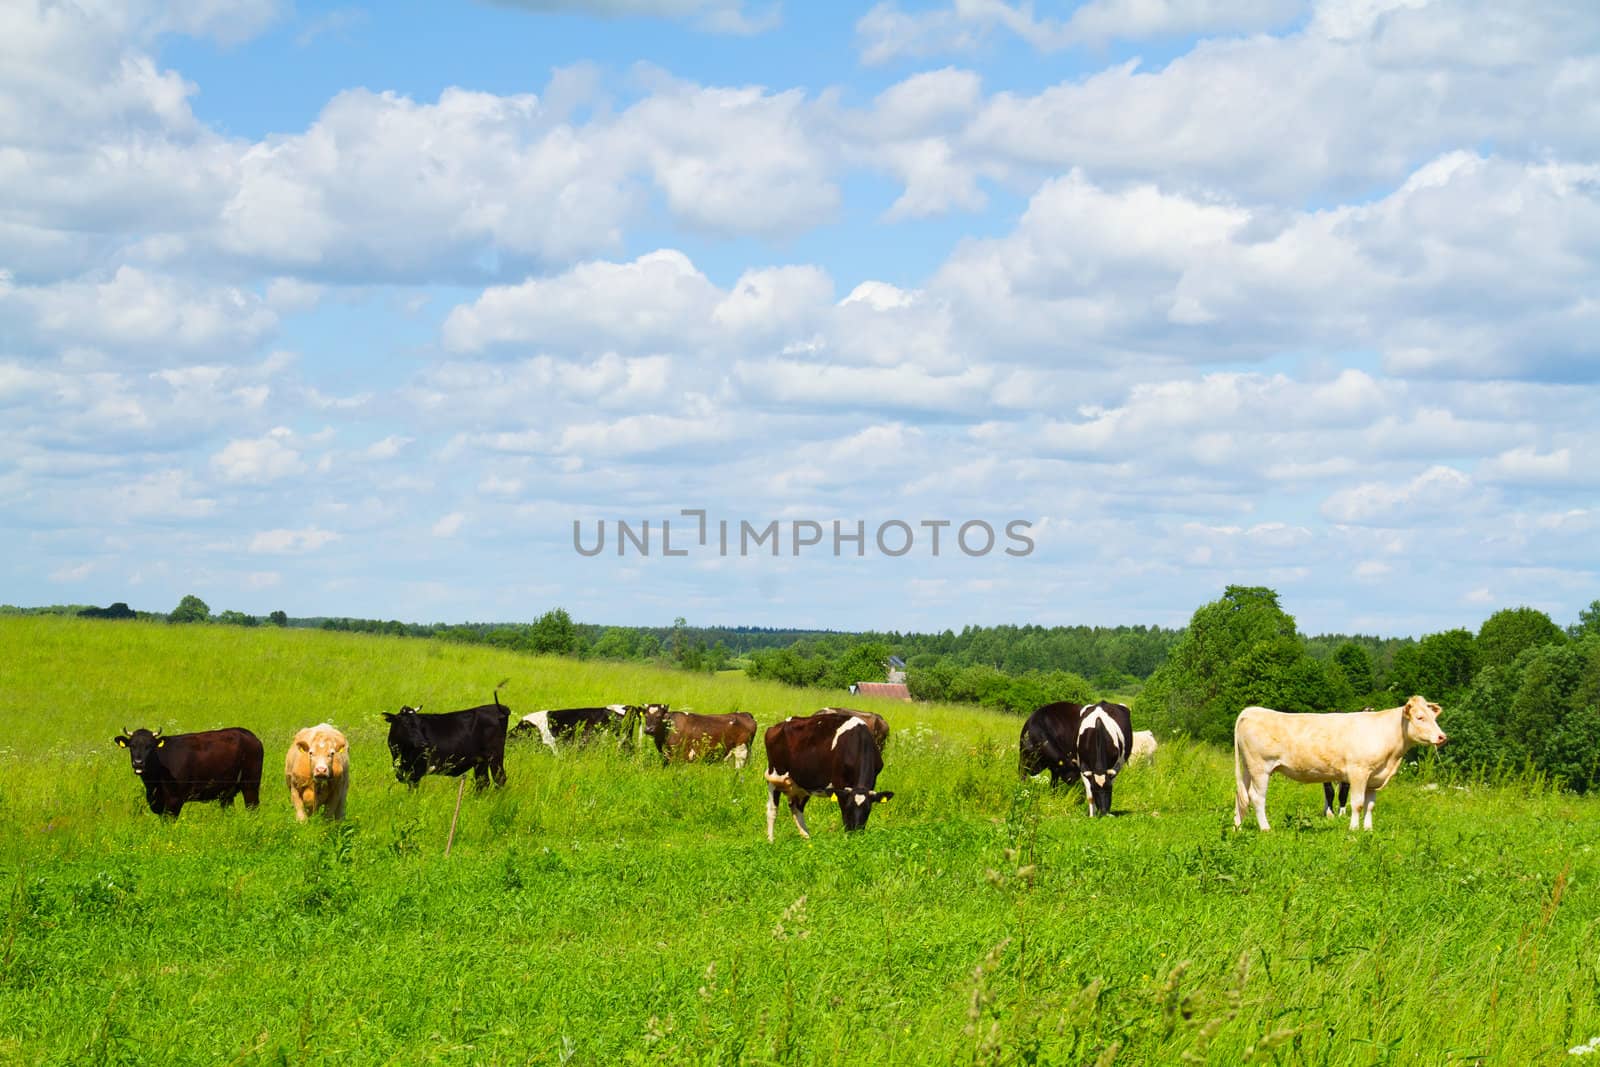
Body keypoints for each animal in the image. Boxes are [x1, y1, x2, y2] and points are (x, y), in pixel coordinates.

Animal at [112, 726, 264, 819]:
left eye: (150, 746)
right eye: (132, 746)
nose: (138, 762)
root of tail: (249, 735)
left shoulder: (174, 800)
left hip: (250, 785)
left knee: (253, 809)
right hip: (227, 792)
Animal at [379, 694, 508, 793]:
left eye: (420, 723)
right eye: (405, 724)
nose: (424, 743)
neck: (399, 753)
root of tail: (499, 707)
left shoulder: (416, 772)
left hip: (495, 756)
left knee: (499, 779)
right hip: (480, 761)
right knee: (483, 782)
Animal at [764, 710, 896, 844]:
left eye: (868, 810)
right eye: (848, 808)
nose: (855, 836)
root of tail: (776, 726)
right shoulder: (840, 785)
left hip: (802, 783)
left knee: (796, 807)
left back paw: (808, 839)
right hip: (774, 776)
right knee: (772, 810)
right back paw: (771, 841)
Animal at [1228, 694, 1446, 831]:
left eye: (1433, 717)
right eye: (1420, 717)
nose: (1442, 736)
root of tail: (1251, 710)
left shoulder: (1374, 778)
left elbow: (1370, 805)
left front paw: (1368, 830)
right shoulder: (1358, 772)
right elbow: (1357, 804)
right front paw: (1354, 829)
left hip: (1248, 768)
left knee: (1241, 795)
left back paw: (1237, 827)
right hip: (1261, 768)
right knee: (1256, 797)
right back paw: (1266, 828)